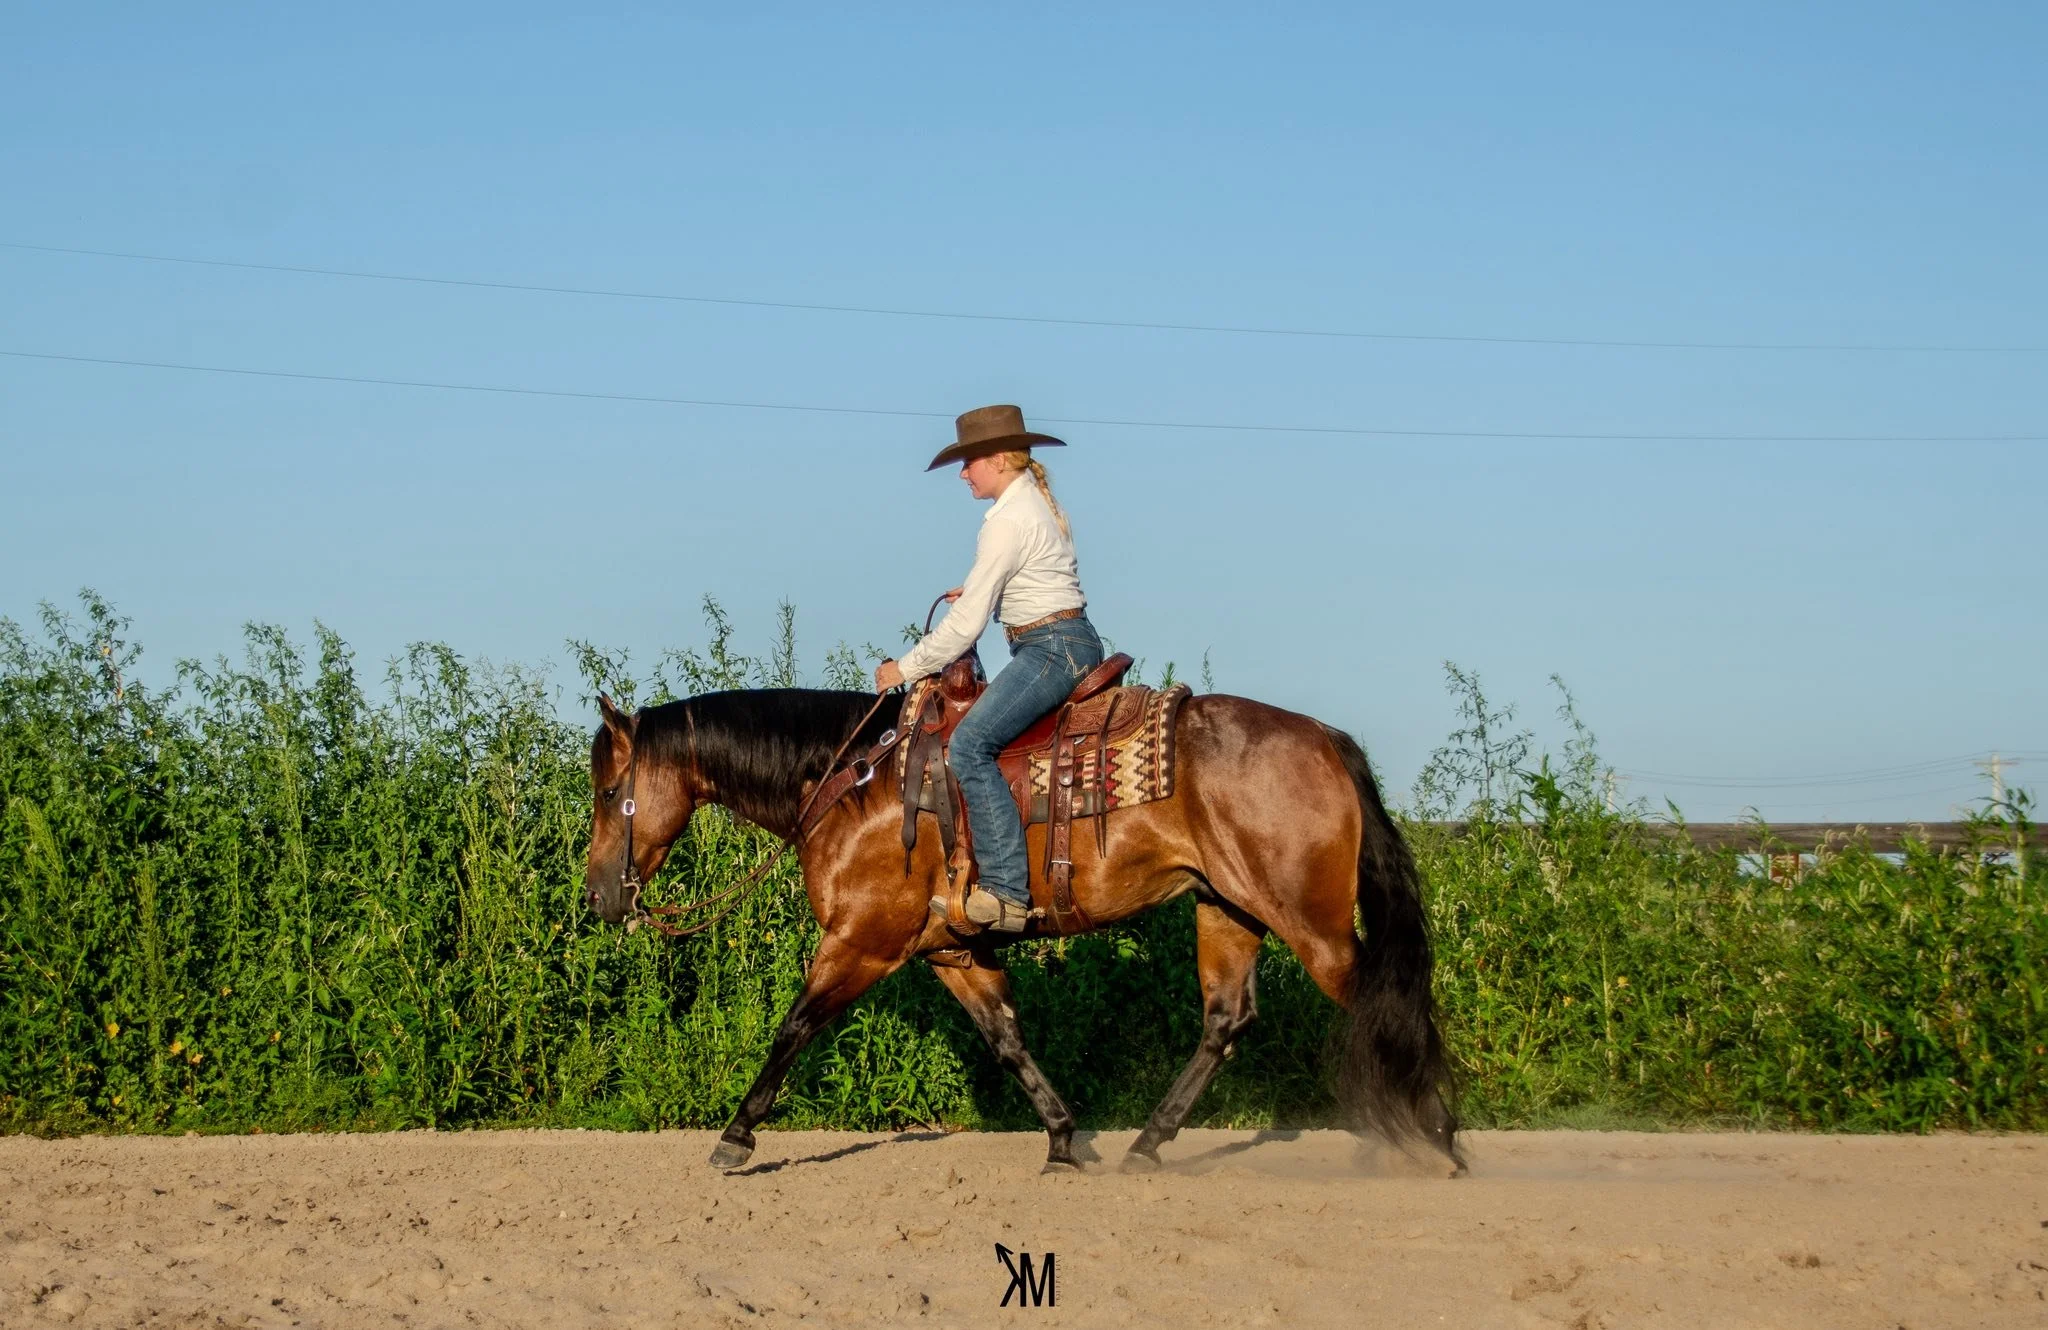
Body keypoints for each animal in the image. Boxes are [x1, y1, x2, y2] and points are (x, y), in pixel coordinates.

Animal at [582, 685, 1461, 1175]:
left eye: (608, 790)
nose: (596, 898)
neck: (851, 783)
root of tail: (1326, 739)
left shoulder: (862, 942)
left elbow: (794, 1027)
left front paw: (735, 1138)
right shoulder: (951, 953)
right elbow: (1007, 1040)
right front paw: (1066, 1139)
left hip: (1311, 925)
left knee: (1386, 1003)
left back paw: (1439, 1140)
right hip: (1228, 908)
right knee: (1226, 1020)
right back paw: (1147, 1145)